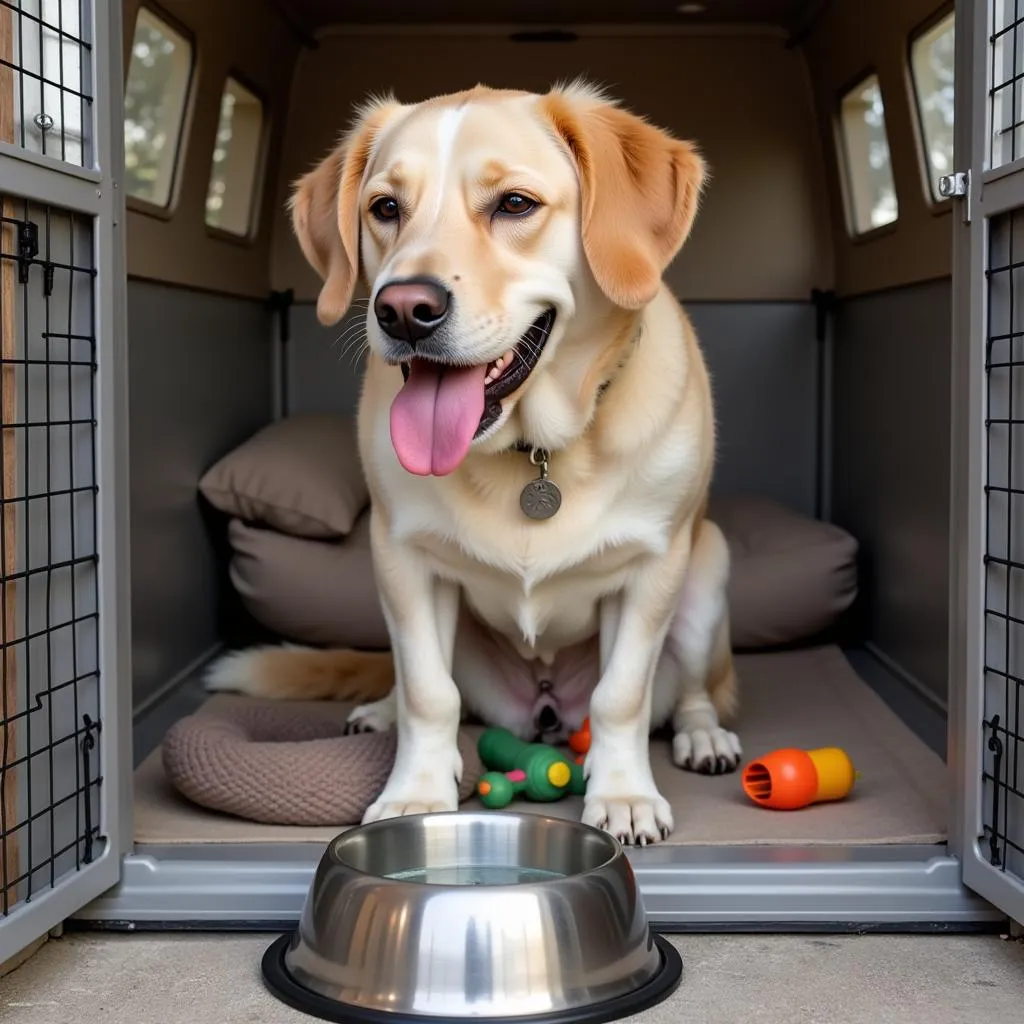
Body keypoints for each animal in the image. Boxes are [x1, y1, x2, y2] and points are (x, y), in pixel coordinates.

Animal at [203, 83, 741, 843]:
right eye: (385, 208)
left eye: (514, 204)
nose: (404, 309)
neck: (531, 450)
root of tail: (544, 710)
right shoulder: (404, 561)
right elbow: (430, 693)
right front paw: (416, 791)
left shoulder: (652, 570)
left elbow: (622, 697)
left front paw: (625, 794)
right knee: (412, 683)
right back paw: (381, 712)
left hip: (705, 574)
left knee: (695, 691)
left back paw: (703, 735)